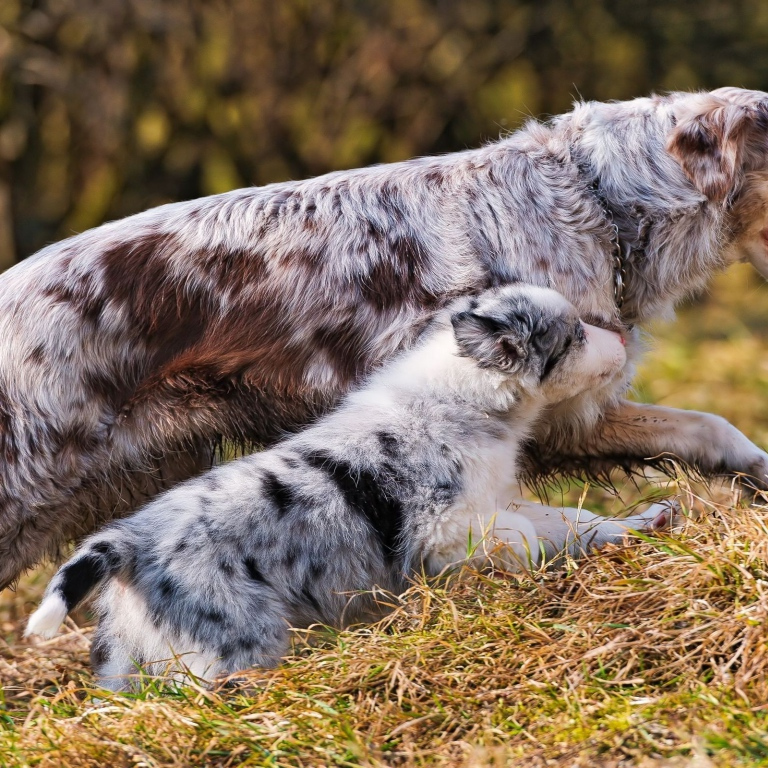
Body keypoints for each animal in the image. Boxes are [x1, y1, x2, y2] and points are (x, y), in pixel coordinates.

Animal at [25, 284, 672, 688]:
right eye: (575, 337)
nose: (621, 339)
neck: (466, 396)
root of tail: (125, 540)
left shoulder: (496, 499)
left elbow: (571, 522)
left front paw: (646, 523)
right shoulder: (445, 529)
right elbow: (520, 537)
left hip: (129, 656)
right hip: (232, 643)